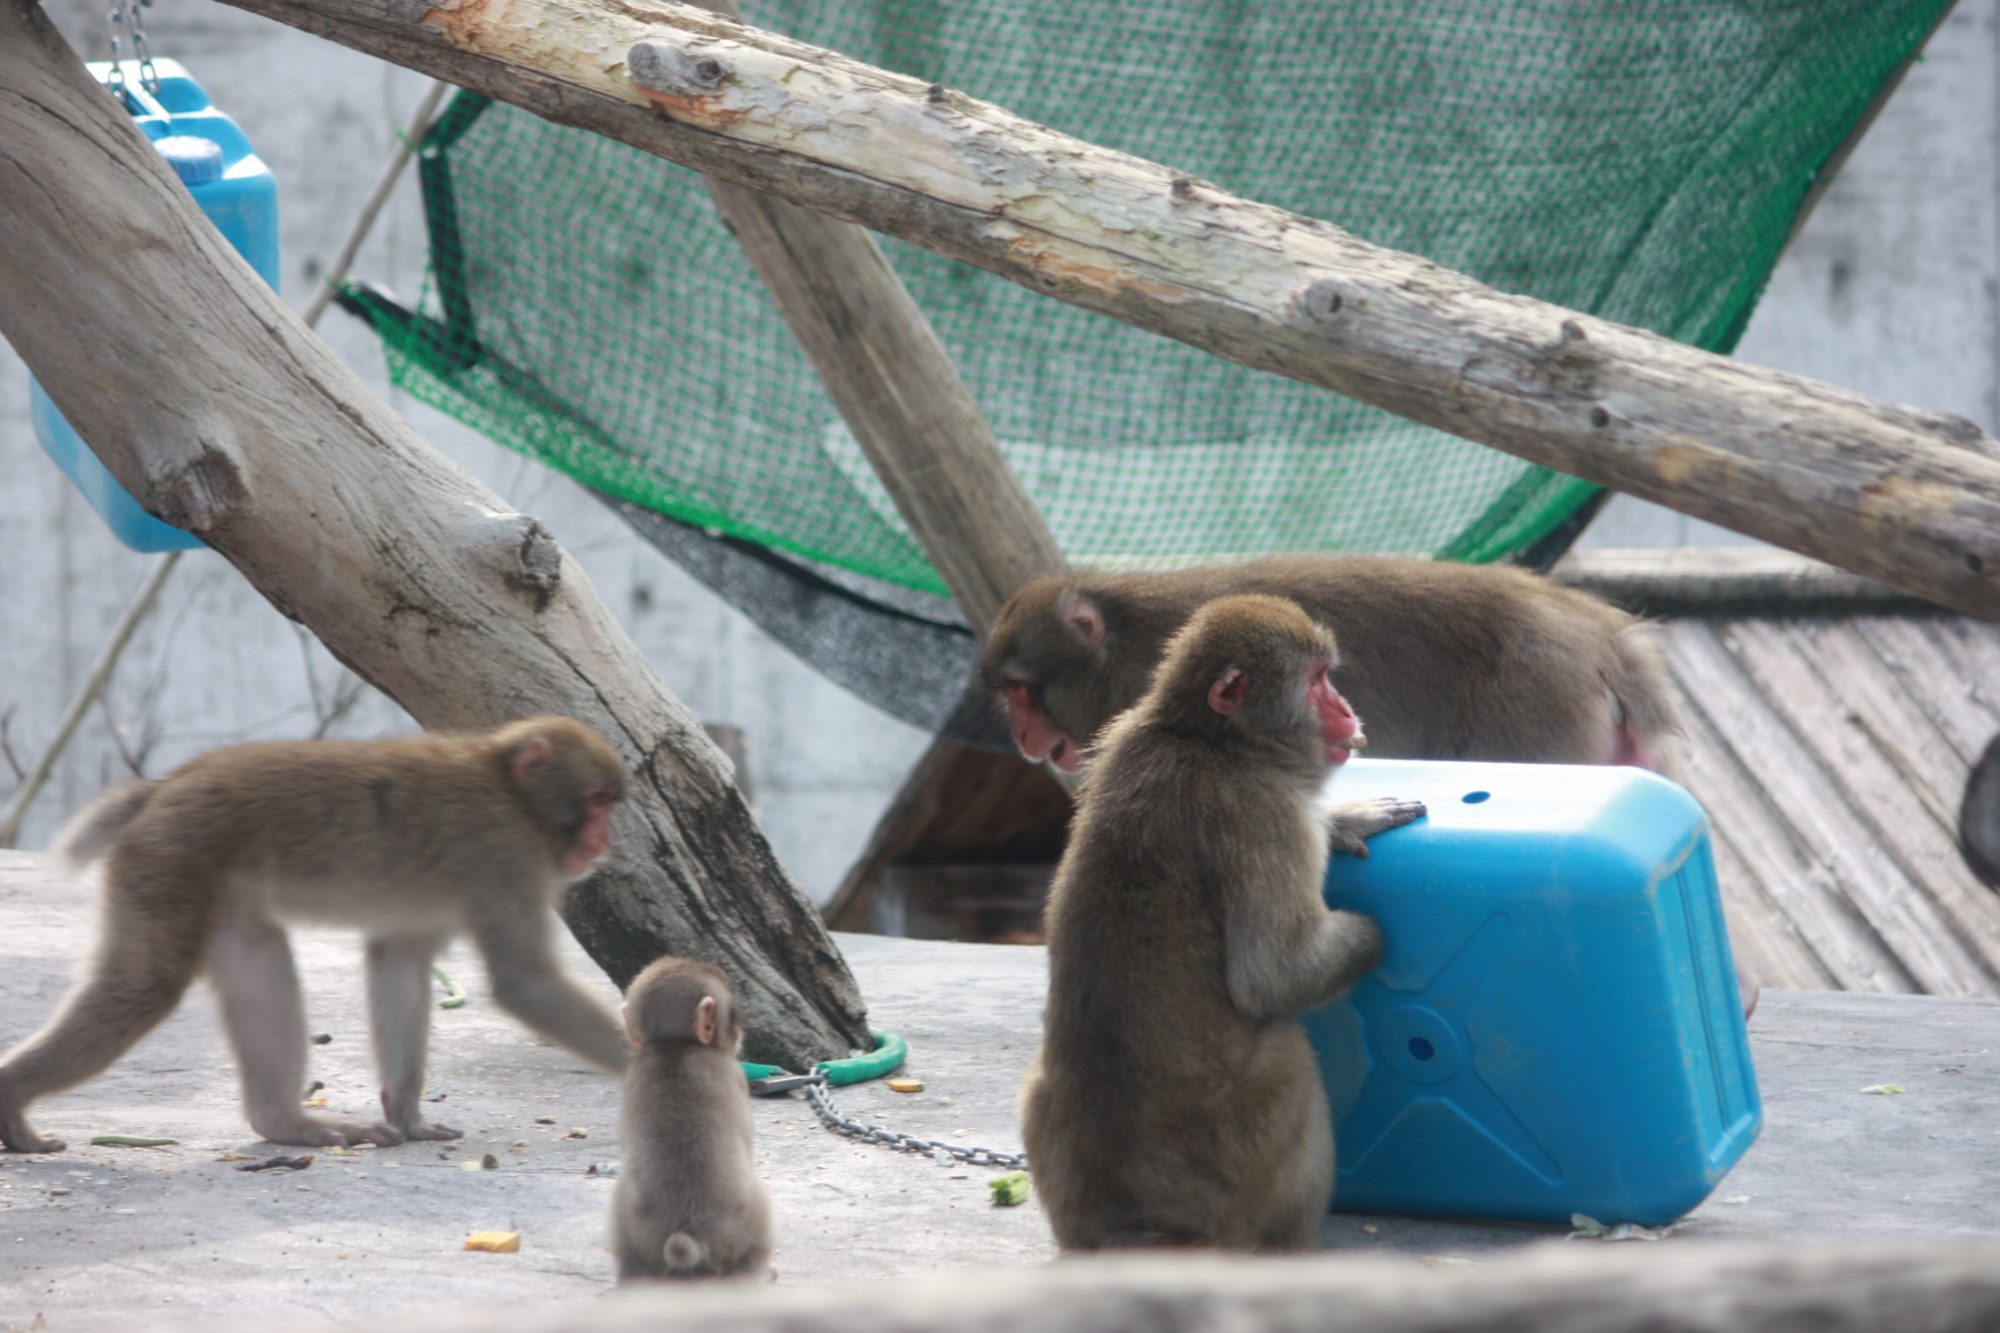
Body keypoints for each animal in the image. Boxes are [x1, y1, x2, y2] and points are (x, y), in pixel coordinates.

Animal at [0, 712, 632, 1144]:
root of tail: (163, 786)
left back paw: (284, 1123)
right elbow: (527, 984)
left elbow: (400, 963)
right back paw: (13, 1099)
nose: (604, 840)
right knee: (142, 986)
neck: (512, 791)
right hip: (173, 855)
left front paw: (408, 1117)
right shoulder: (507, 855)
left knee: (258, 961)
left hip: (211, 877)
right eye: (598, 800)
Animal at [608, 956, 772, 1280]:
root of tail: (689, 1232)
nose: (741, 1031)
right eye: (733, 1015)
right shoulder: (737, 1076)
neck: (675, 1045)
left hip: (627, 1220)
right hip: (749, 1219)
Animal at [1024, 592, 1432, 1248]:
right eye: (1318, 680)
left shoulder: (1114, 742)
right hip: (1236, 1172)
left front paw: (1343, 818)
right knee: (1289, 1051)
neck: (1213, 739)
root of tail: (1140, 1226)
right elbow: (1274, 977)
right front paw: (1374, 933)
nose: (1347, 709)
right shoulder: (1264, 813)